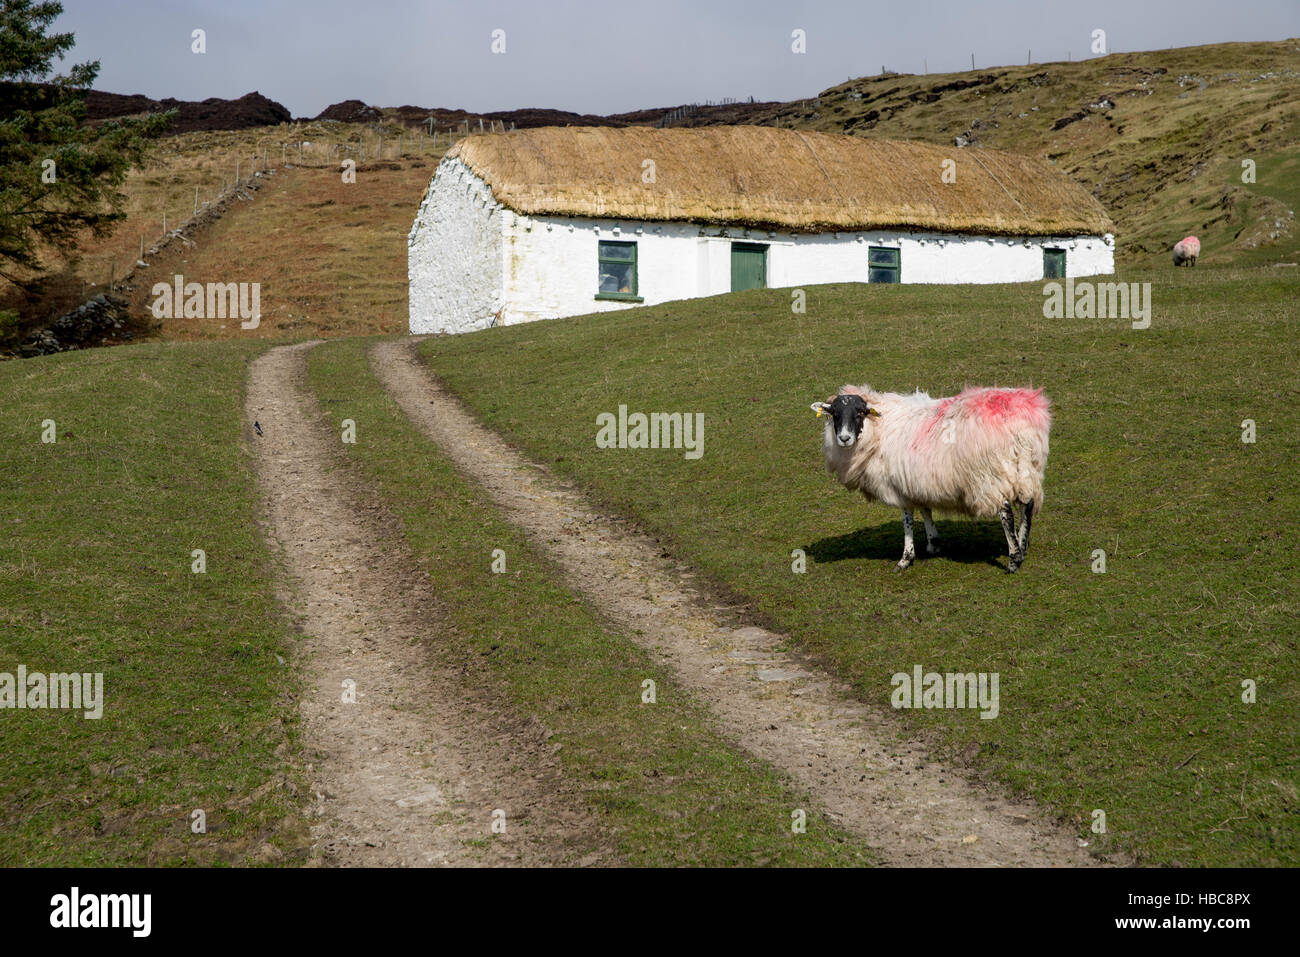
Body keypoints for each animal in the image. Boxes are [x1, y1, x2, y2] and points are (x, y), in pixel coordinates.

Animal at [806, 382, 1050, 574]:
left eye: (859, 413)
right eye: (834, 414)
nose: (844, 438)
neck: (878, 429)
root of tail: (1021, 419)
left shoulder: (900, 485)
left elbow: (907, 519)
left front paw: (905, 559)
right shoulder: (917, 481)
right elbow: (925, 510)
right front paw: (934, 544)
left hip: (991, 476)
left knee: (1006, 512)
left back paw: (1014, 560)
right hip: (1027, 469)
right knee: (1027, 505)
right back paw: (1022, 545)